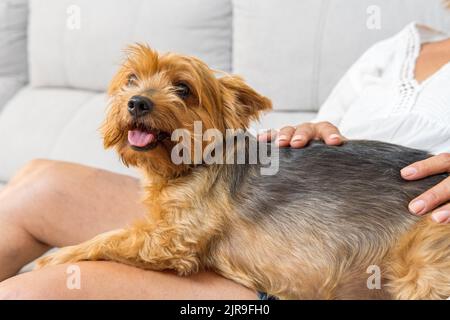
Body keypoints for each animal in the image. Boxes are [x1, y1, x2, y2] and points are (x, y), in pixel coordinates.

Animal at [36, 45, 450, 300]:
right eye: (130, 80)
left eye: (183, 89)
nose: (137, 102)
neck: (189, 164)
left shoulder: (174, 238)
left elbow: (109, 237)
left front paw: (58, 257)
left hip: (426, 267)